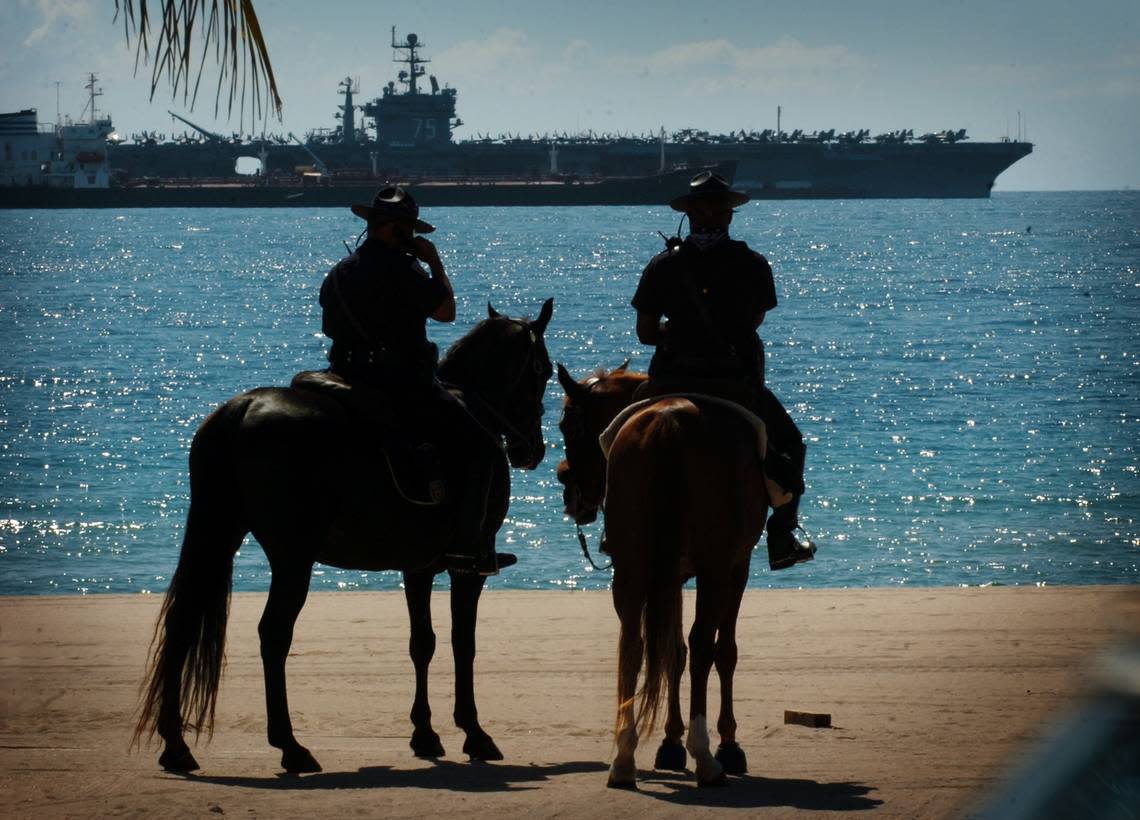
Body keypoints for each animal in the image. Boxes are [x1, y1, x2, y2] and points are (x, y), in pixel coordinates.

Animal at [134, 301, 556, 775]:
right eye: (542, 370)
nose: (531, 449)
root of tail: (241, 409)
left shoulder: (419, 566)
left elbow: (422, 643)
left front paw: (425, 733)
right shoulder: (469, 568)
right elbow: (462, 643)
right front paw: (474, 732)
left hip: (217, 533)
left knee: (183, 623)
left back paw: (175, 744)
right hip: (292, 557)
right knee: (273, 634)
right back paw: (290, 745)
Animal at [554, 364, 770, 789]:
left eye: (567, 427)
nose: (566, 486)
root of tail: (669, 421)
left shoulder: (669, 574)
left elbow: (670, 651)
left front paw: (670, 741)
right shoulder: (737, 566)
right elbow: (722, 651)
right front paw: (727, 743)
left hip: (633, 566)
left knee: (632, 645)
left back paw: (624, 756)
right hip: (716, 567)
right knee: (703, 645)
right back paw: (706, 757)